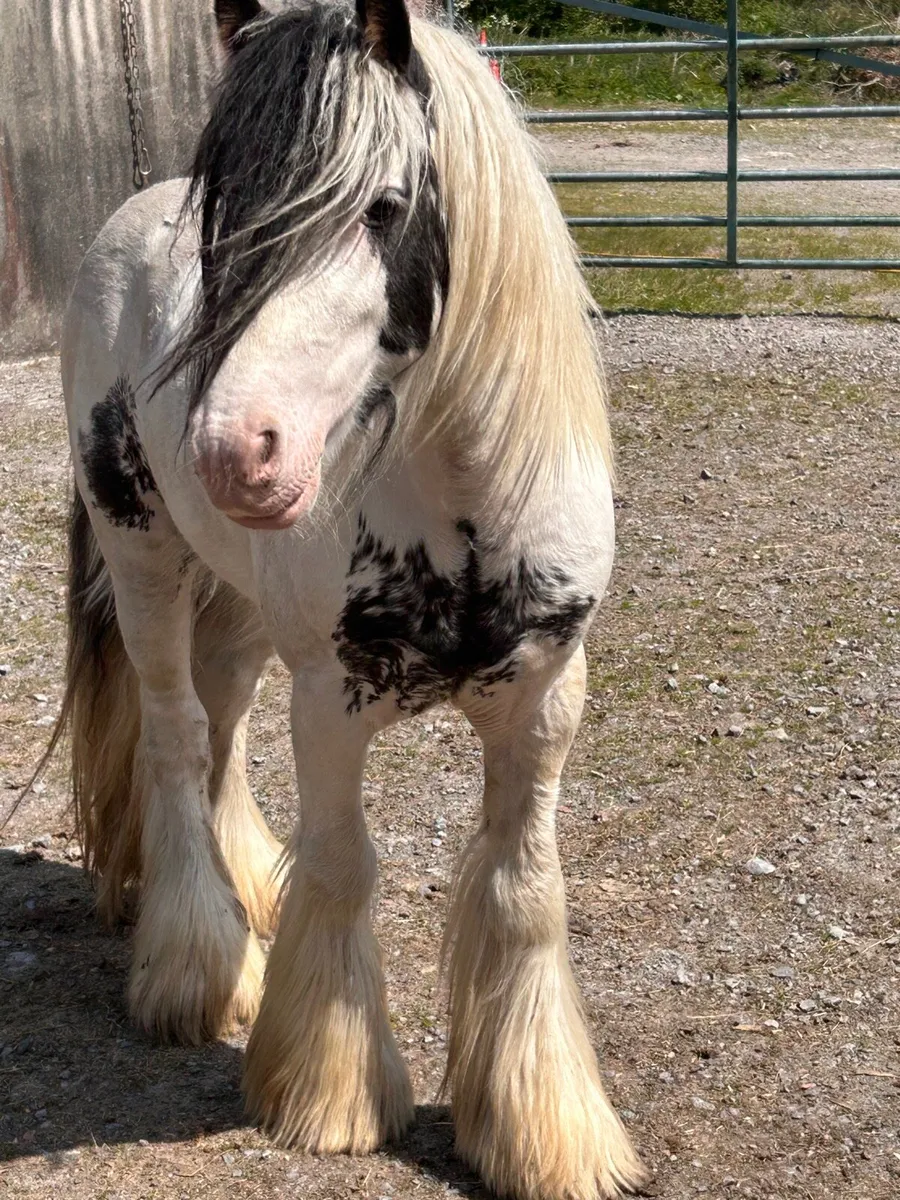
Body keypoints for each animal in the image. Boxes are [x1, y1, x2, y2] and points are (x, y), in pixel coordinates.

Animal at [50, 0, 648, 1195]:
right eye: (227, 218)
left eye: (382, 208)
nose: (232, 452)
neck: (465, 514)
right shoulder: (332, 701)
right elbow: (344, 867)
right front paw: (329, 1093)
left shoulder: (547, 706)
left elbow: (525, 893)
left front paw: (540, 1129)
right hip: (143, 563)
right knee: (176, 737)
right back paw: (197, 965)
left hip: (234, 605)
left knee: (221, 730)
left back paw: (245, 895)